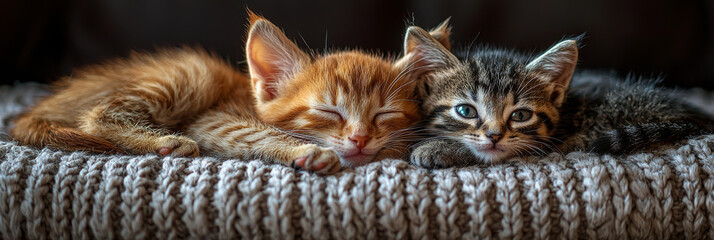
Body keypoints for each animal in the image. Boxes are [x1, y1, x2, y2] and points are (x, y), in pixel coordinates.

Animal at [11, 13, 450, 173]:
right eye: (329, 111)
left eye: (383, 115)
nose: (359, 139)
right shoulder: (214, 119)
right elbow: (258, 133)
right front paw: (305, 151)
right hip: (194, 72)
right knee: (99, 115)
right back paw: (164, 142)